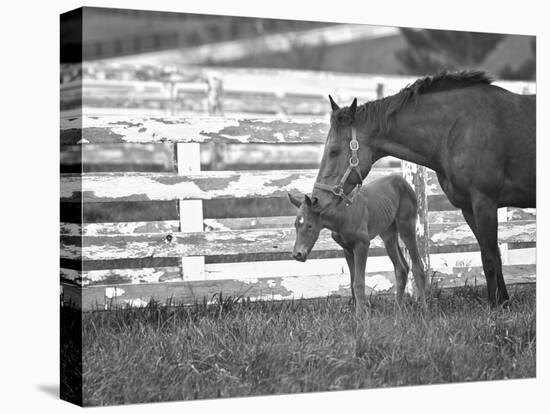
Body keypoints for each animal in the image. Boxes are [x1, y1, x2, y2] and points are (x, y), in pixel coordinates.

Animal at [292, 173, 430, 312]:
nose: (297, 254)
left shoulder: (362, 245)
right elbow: (352, 283)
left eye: (309, 226)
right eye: (296, 224)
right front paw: (358, 313)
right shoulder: (347, 249)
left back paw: (424, 310)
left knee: (418, 266)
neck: (343, 215)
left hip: (406, 227)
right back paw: (397, 311)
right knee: (401, 268)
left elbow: (358, 283)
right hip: (388, 234)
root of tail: (402, 179)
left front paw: (361, 316)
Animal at [312, 69, 536, 306]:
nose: (316, 198)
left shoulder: (485, 202)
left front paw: (494, 307)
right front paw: (503, 303)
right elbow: (494, 255)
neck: (459, 128)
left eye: (334, 151)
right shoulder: (469, 208)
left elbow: (489, 258)